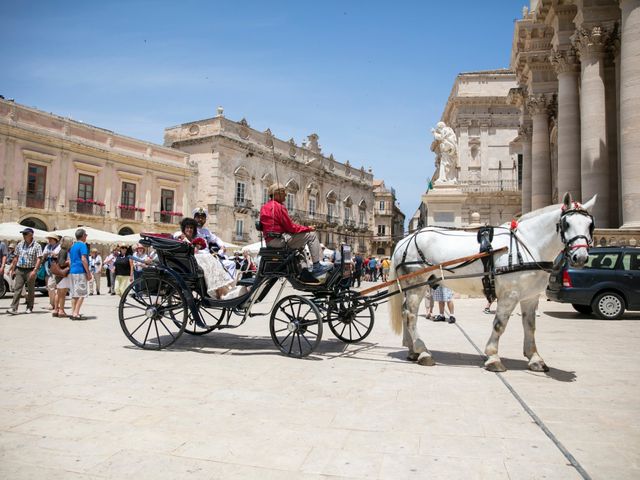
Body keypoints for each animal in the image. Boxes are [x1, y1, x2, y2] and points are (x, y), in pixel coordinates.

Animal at [388, 193, 596, 374]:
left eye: (590, 225)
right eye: (566, 224)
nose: (580, 257)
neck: (527, 245)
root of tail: (404, 241)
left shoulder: (530, 297)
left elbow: (530, 326)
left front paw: (535, 358)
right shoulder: (509, 295)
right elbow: (499, 325)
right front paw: (493, 357)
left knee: (405, 312)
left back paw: (412, 350)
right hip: (417, 284)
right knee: (411, 315)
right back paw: (423, 351)